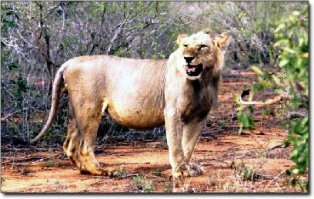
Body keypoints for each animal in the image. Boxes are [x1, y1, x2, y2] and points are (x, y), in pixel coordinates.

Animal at [30, 30, 228, 178]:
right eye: (185, 46)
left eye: (202, 46)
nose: (187, 58)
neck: (201, 82)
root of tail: (69, 62)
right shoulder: (172, 112)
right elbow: (176, 145)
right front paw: (180, 171)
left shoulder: (199, 117)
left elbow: (189, 145)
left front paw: (189, 167)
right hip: (89, 109)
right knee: (85, 146)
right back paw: (101, 171)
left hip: (75, 109)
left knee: (69, 144)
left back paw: (85, 170)